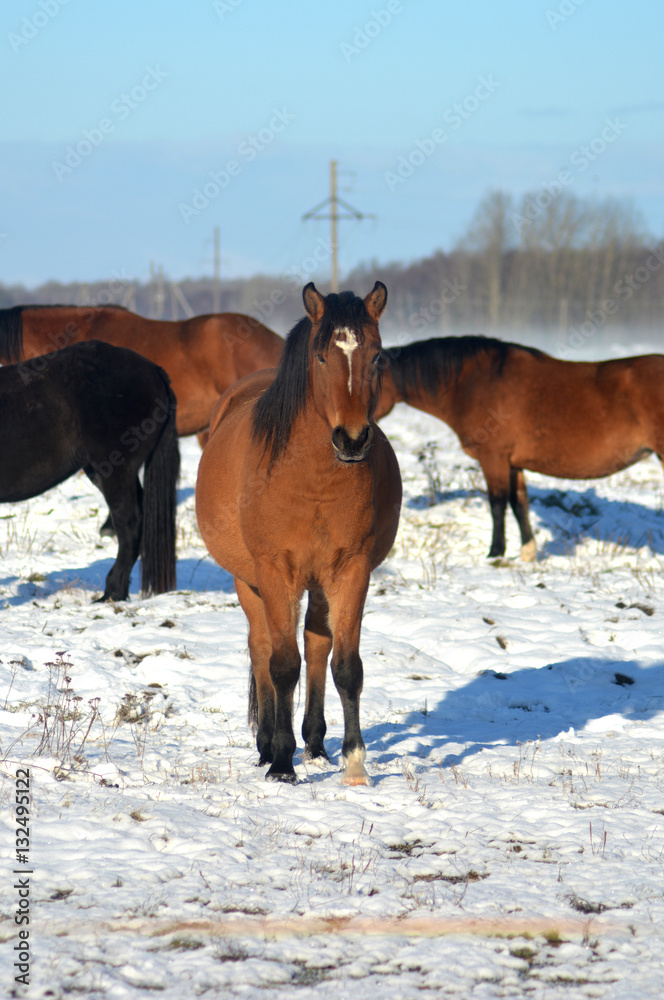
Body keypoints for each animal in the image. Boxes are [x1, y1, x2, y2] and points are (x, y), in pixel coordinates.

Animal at [196, 282, 402, 784]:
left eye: (378, 356)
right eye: (322, 357)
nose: (352, 439)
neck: (314, 483)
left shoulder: (351, 570)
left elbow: (346, 666)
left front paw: (354, 763)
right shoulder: (275, 571)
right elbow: (282, 664)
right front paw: (281, 762)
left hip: (319, 583)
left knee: (316, 645)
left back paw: (314, 743)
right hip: (248, 581)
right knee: (263, 648)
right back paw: (269, 745)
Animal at [376, 335, 664, 560]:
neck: (473, 384)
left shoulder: (493, 458)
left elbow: (497, 504)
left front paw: (495, 553)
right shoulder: (513, 463)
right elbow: (519, 504)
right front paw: (528, 552)